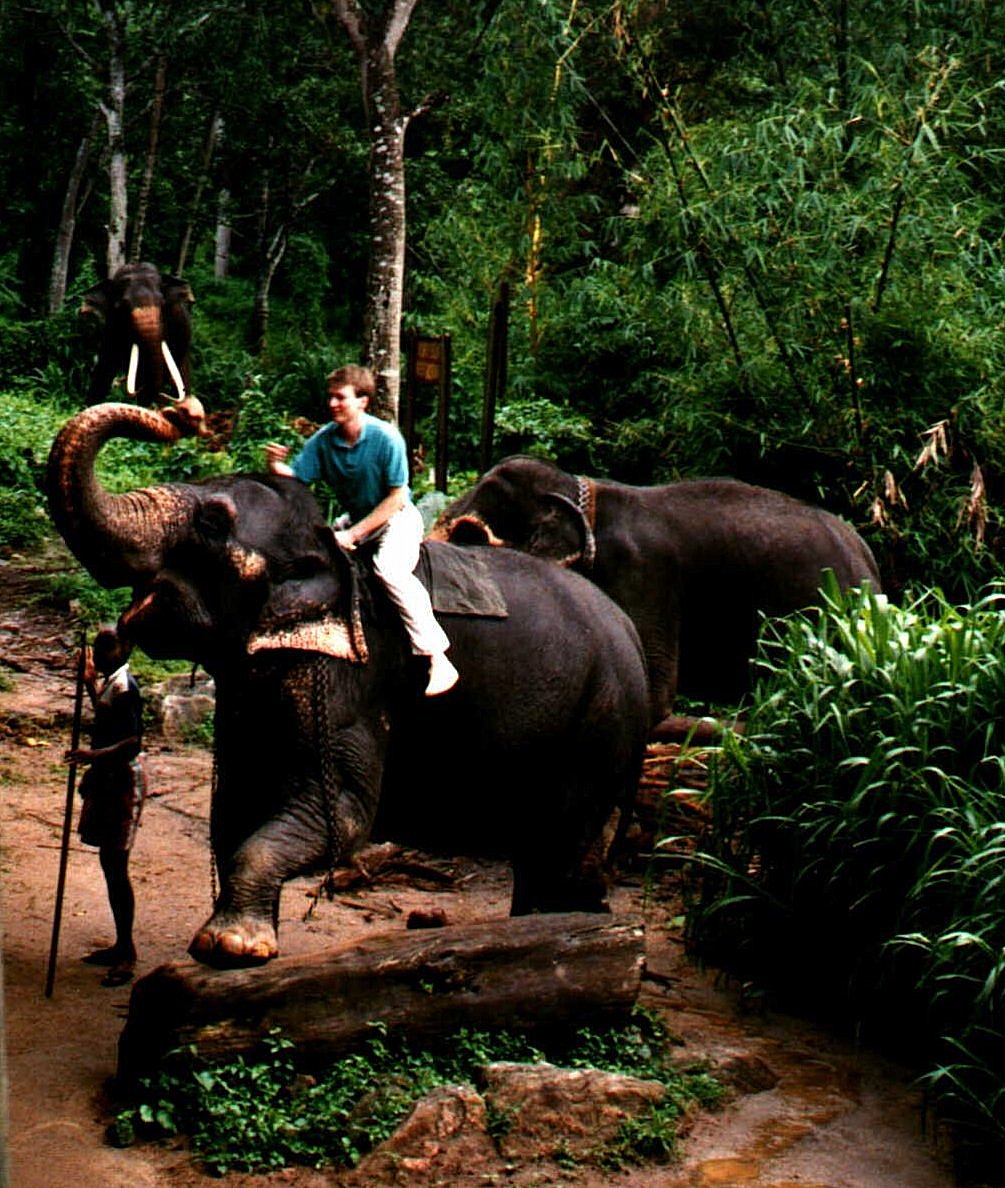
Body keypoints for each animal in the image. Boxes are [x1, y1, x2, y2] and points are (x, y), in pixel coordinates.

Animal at [45, 406, 650, 964]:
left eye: (213, 522)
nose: (178, 414)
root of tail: (630, 632)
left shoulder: (353, 681)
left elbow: (343, 814)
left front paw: (230, 946)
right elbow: (237, 805)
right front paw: (252, 945)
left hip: (601, 727)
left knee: (563, 840)